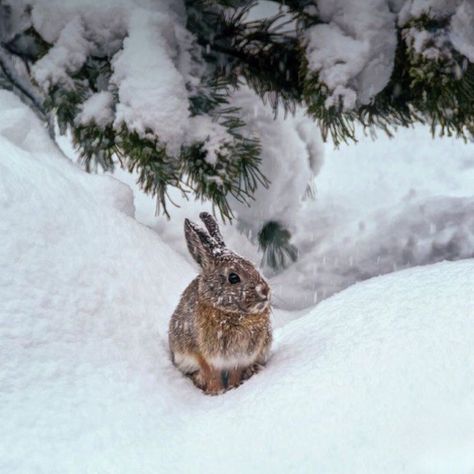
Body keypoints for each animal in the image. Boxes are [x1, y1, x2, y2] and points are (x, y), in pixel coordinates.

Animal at [168, 213, 272, 394]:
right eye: (233, 277)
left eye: (252, 266)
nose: (265, 291)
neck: (233, 313)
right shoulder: (205, 355)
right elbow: (212, 373)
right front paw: (216, 392)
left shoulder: (241, 358)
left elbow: (235, 373)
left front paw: (233, 387)